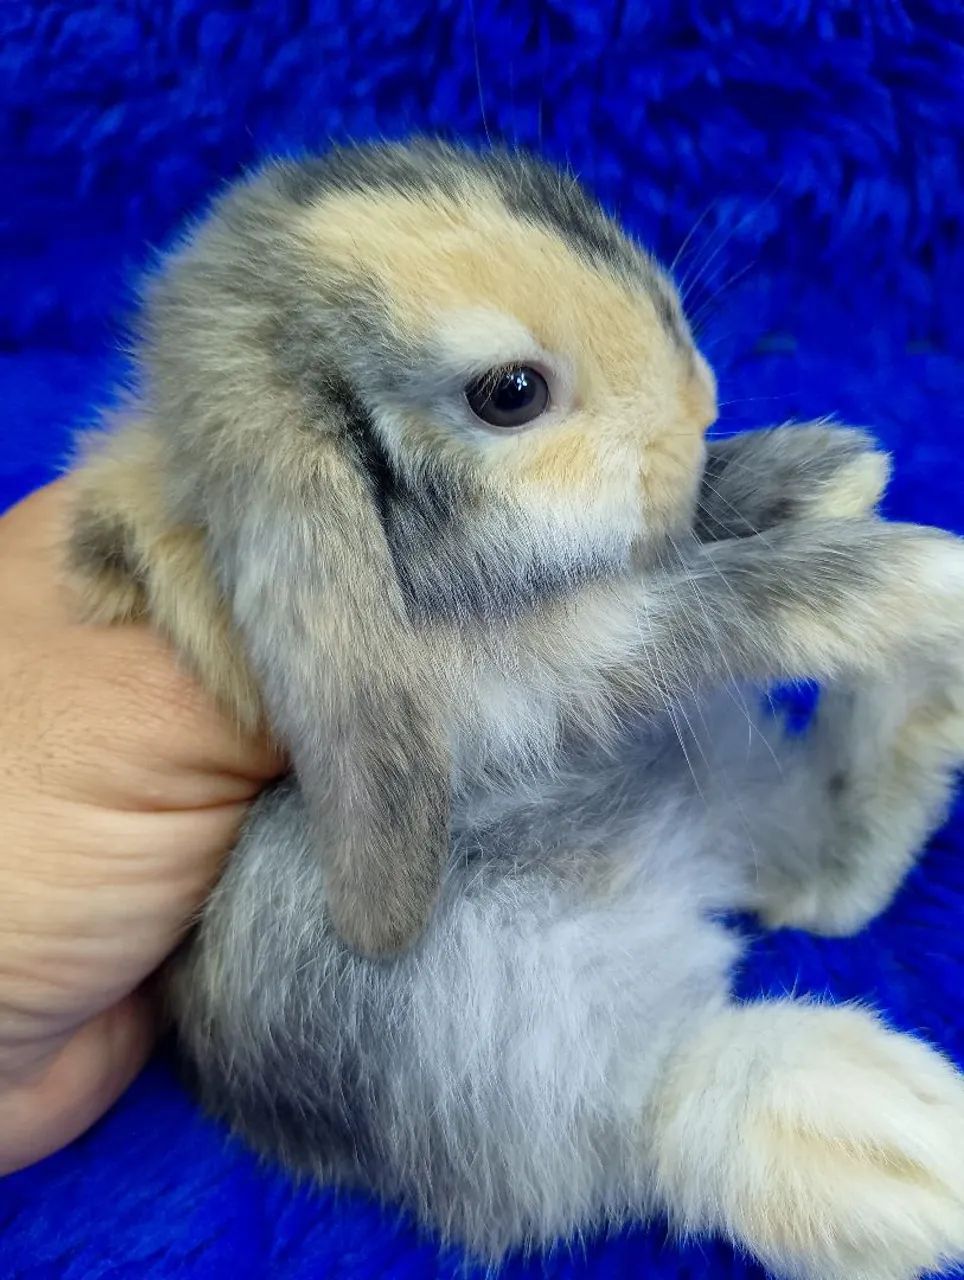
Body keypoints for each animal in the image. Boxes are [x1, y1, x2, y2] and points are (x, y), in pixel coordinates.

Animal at [64, 139, 964, 1280]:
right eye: (511, 393)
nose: (701, 402)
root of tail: (673, 895)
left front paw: (825, 468)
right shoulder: (521, 673)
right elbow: (696, 607)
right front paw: (906, 572)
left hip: (725, 782)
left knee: (829, 876)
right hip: (458, 1035)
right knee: (641, 1111)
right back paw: (880, 1139)